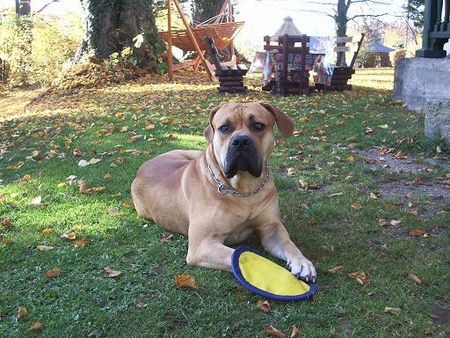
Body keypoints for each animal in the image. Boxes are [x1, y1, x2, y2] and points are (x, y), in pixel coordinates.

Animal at [131, 101, 316, 282]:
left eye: (258, 125)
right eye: (224, 128)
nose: (241, 140)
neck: (244, 189)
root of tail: (142, 168)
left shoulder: (271, 227)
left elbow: (287, 243)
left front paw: (302, 262)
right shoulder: (202, 245)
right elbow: (242, 257)